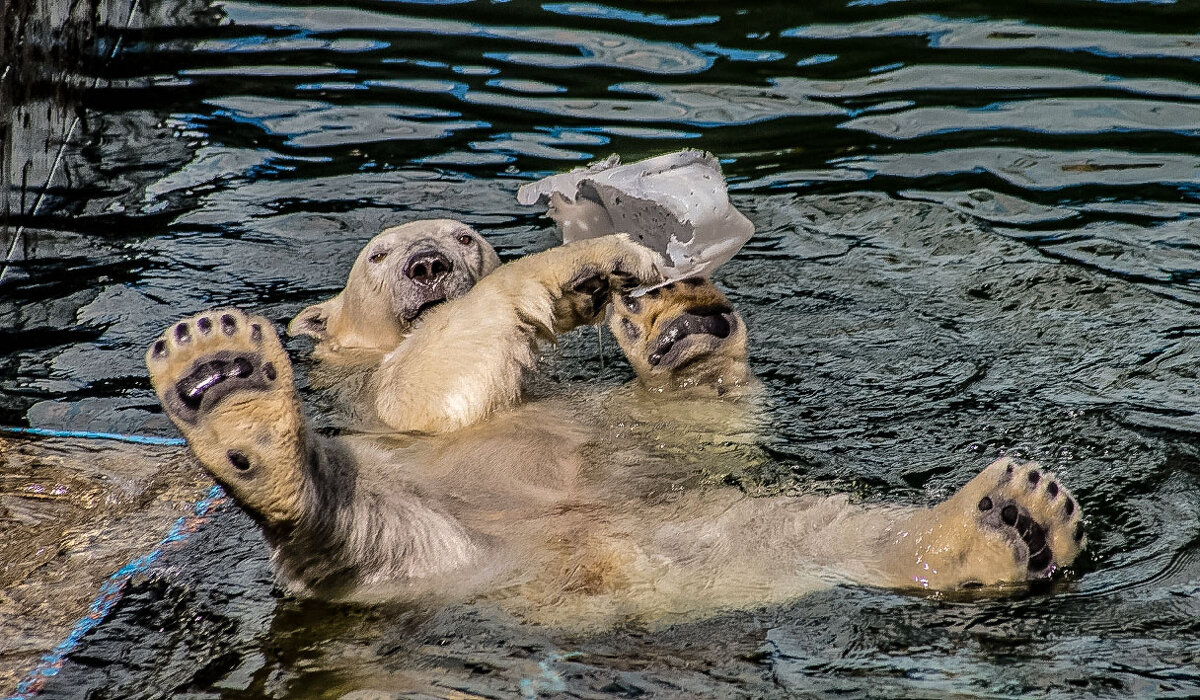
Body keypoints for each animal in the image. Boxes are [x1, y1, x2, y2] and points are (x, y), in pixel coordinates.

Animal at [145, 234, 1084, 624]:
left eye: (466, 236)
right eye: (378, 254)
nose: (428, 262)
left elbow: (685, 425)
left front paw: (673, 318)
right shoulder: (369, 395)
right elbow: (422, 393)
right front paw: (581, 261)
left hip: (715, 529)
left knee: (826, 528)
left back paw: (1009, 520)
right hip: (423, 549)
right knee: (351, 519)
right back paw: (231, 389)